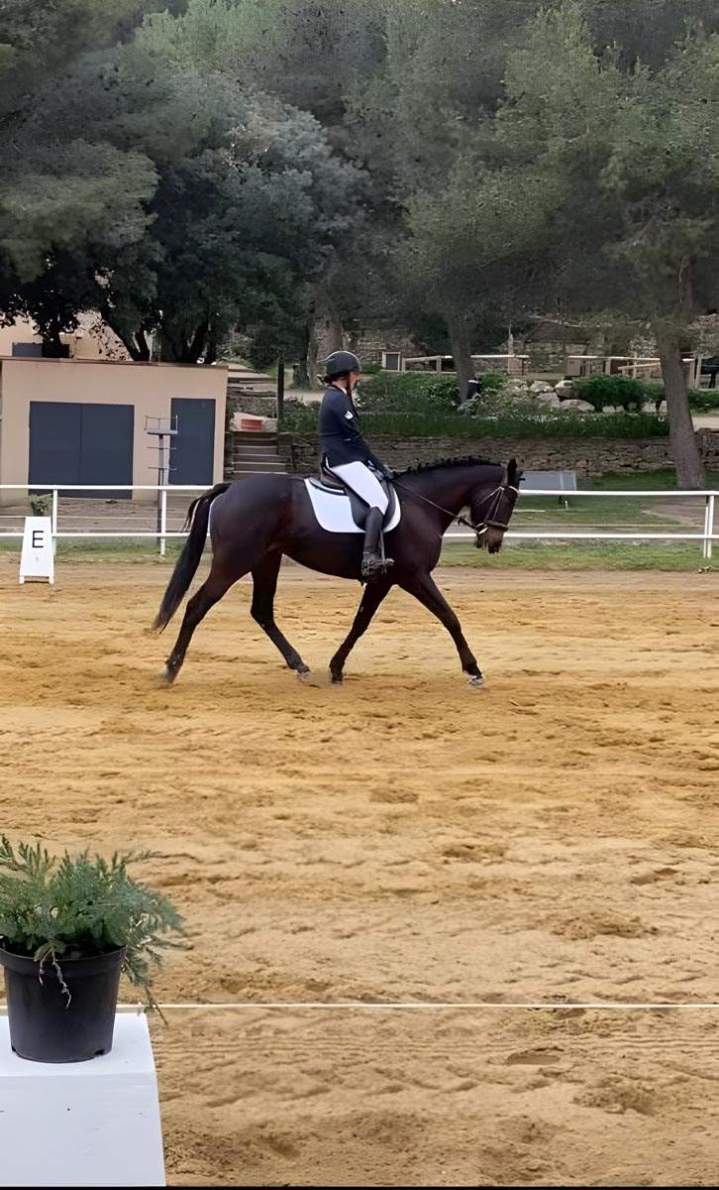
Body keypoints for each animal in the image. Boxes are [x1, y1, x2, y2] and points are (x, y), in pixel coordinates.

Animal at [153, 457, 522, 686]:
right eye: (507, 500)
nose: (493, 541)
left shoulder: (384, 581)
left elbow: (360, 623)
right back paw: (170, 669)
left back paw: (300, 665)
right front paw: (473, 670)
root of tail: (231, 488)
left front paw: (336, 667)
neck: (422, 504)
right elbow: (449, 617)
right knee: (197, 606)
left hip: (265, 560)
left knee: (262, 611)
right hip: (233, 562)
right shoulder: (414, 576)